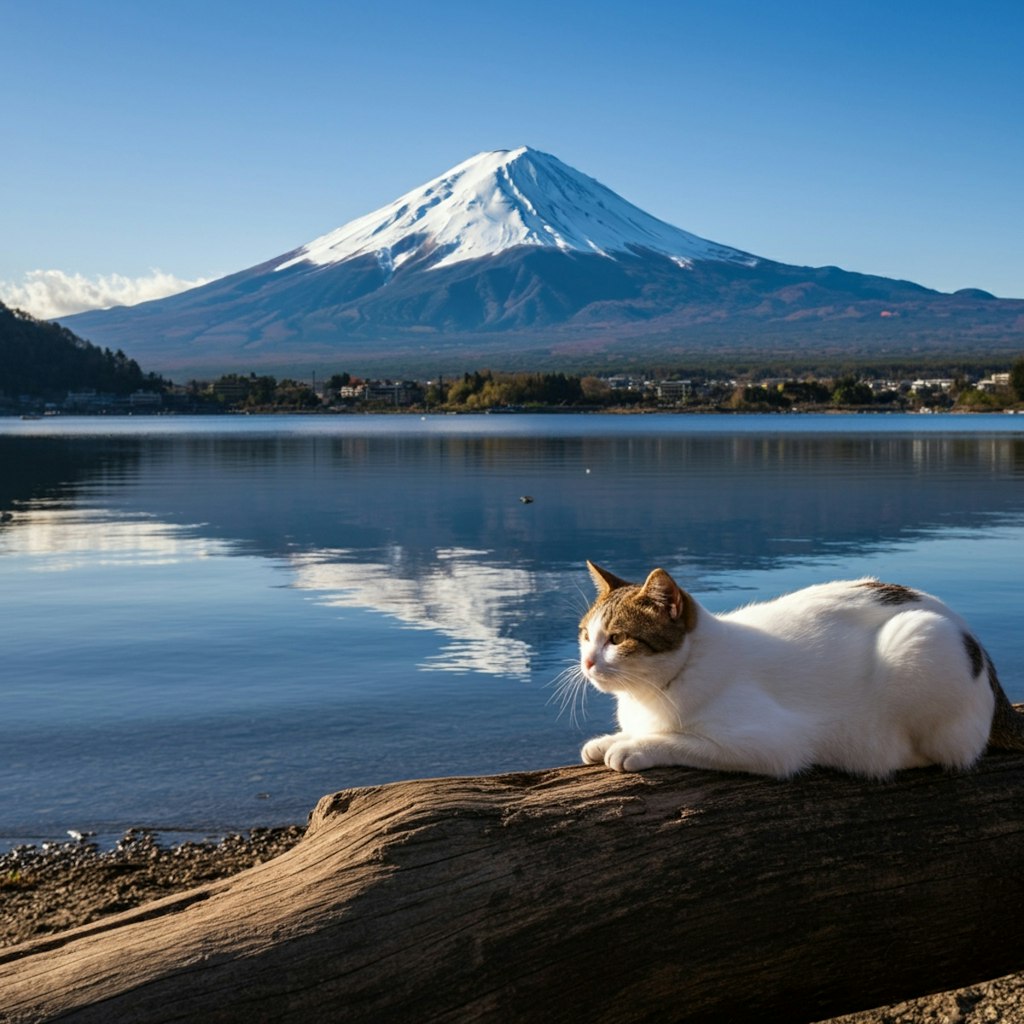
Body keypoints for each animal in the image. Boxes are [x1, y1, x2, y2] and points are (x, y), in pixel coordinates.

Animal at [577, 561, 1024, 774]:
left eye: (616, 639)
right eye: (585, 634)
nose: (586, 661)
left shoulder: (770, 745)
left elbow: (678, 740)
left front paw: (633, 746)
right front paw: (609, 739)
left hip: (920, 638)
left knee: (948, 751)